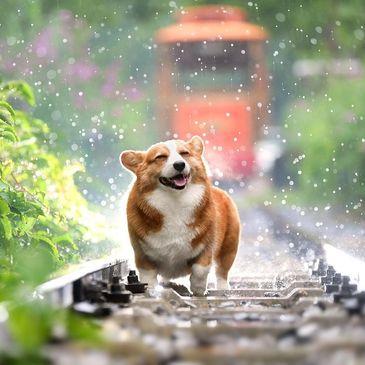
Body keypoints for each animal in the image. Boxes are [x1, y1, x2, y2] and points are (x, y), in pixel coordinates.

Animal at [119, 135, 239, 294]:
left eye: (184, 153)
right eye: (160, 157)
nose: (180, 165)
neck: (175, 200)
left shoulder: (207, 246)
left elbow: (200, 270)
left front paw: (198, 289)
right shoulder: (142, 254)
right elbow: (148, 277)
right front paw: (151, 290)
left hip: (229, 246)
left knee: (222, 271)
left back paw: (223, 288)